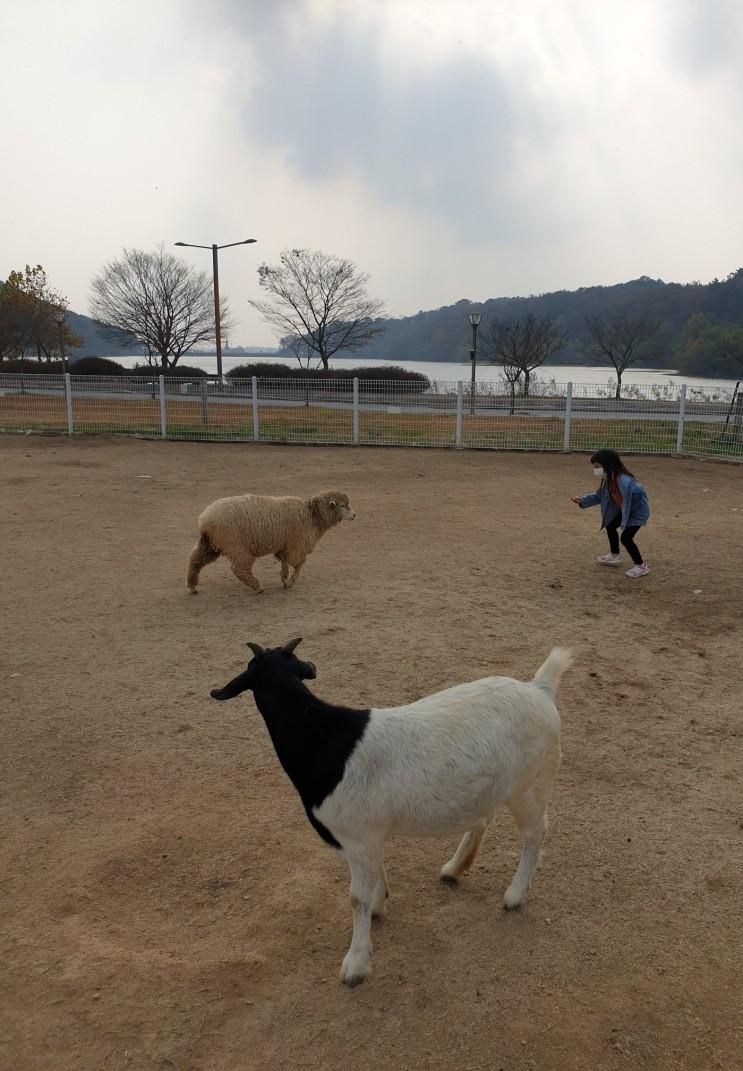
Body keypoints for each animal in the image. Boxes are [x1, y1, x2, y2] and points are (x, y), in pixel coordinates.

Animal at [185, 490, 355, 595]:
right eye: (343, 505)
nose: (354, 515)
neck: (312, 515)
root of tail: (204, 519)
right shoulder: (297, 546)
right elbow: (299, 565)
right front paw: (290, 582)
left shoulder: (285, 545)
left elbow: (284, 561)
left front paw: (284, 578)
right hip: (235, 545)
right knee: (238, 569)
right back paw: (257, 586)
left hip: (210, 544)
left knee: (195, 560)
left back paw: (192, 586)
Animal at [209, 634, 578, 985]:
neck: (323, 740)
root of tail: (540, 688)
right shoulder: (365, 837)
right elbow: (375, 874)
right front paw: (379, 903)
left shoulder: (358, 838)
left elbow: (355, 898)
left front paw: (356, 965)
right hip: (492, 785)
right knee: (483, 815)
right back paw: (455, 868)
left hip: (530, 785)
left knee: (534, 834)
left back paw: (514, 895)